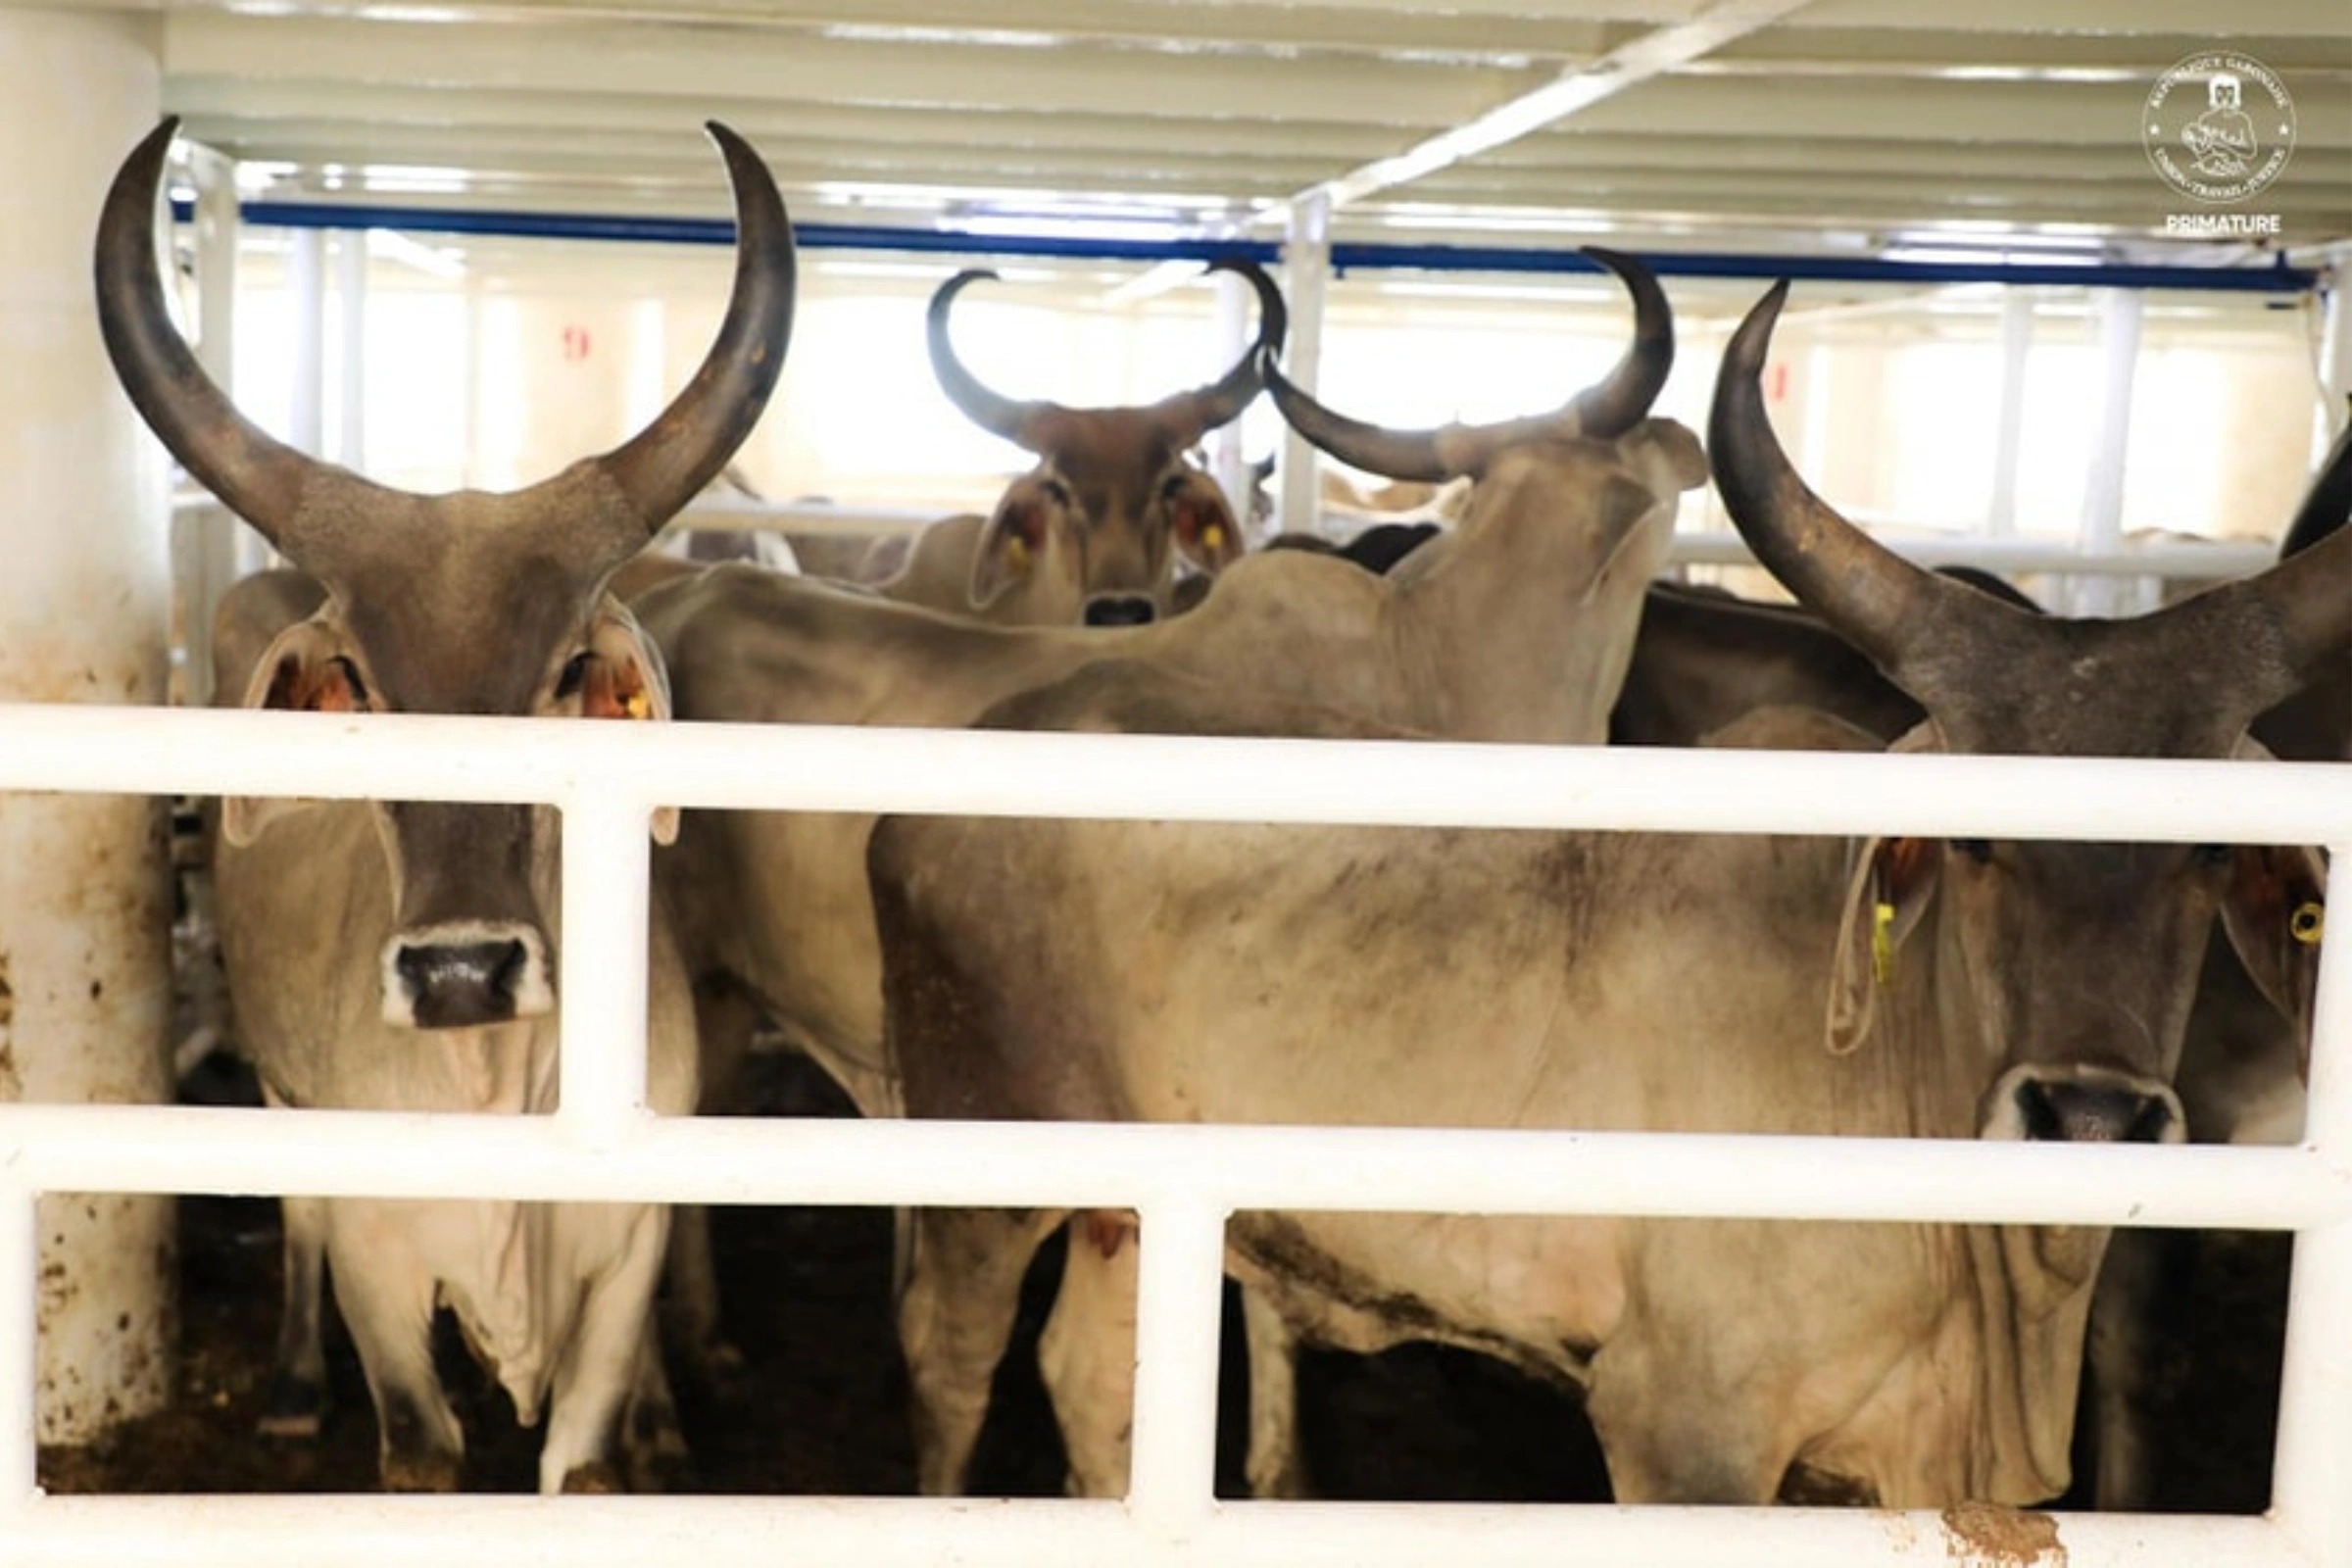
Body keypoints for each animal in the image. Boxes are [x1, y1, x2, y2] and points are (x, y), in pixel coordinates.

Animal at [98, 116, 800, 1494]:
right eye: (360, 681)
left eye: (570, 670)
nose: (462, 972)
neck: (492, 1081)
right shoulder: (382, 1269)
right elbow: (419, 1449)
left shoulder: (619, 1264)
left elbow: (585, 1459)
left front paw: (646, 1431)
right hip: (282, 1096)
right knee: (298, 1229)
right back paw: (290, 1385)